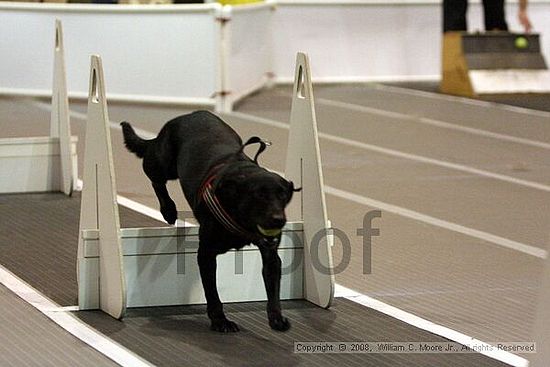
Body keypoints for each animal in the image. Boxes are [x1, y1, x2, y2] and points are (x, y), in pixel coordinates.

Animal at [122, 110, 300, 332]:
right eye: (258, 195)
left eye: (283, 196)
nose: (278, 220)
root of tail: (187, 114)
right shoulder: (206, 253)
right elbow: (212, 292)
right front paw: (220, 321)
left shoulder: (271, 255)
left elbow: (273, 289)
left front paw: (277, 319)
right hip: (162, 163)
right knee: (154, 176)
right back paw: (168, 210)